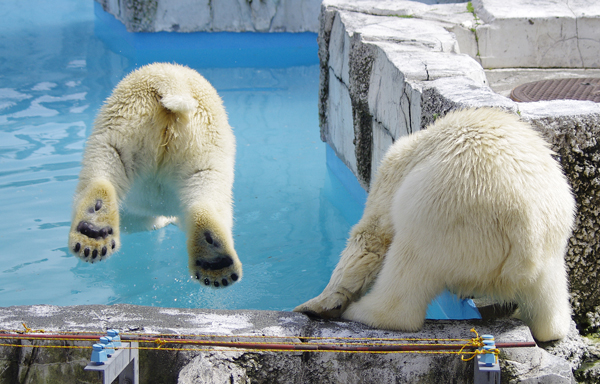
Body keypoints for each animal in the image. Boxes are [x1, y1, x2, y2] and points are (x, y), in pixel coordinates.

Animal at [296, 108, 576, 342]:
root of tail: (524, 230)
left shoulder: (393, 169)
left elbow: (371, 237)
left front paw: (315, 304)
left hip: (442, 216)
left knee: (408, 263)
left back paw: (364, 312)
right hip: (551, 244)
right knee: (550, 297)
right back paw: (545, 325)